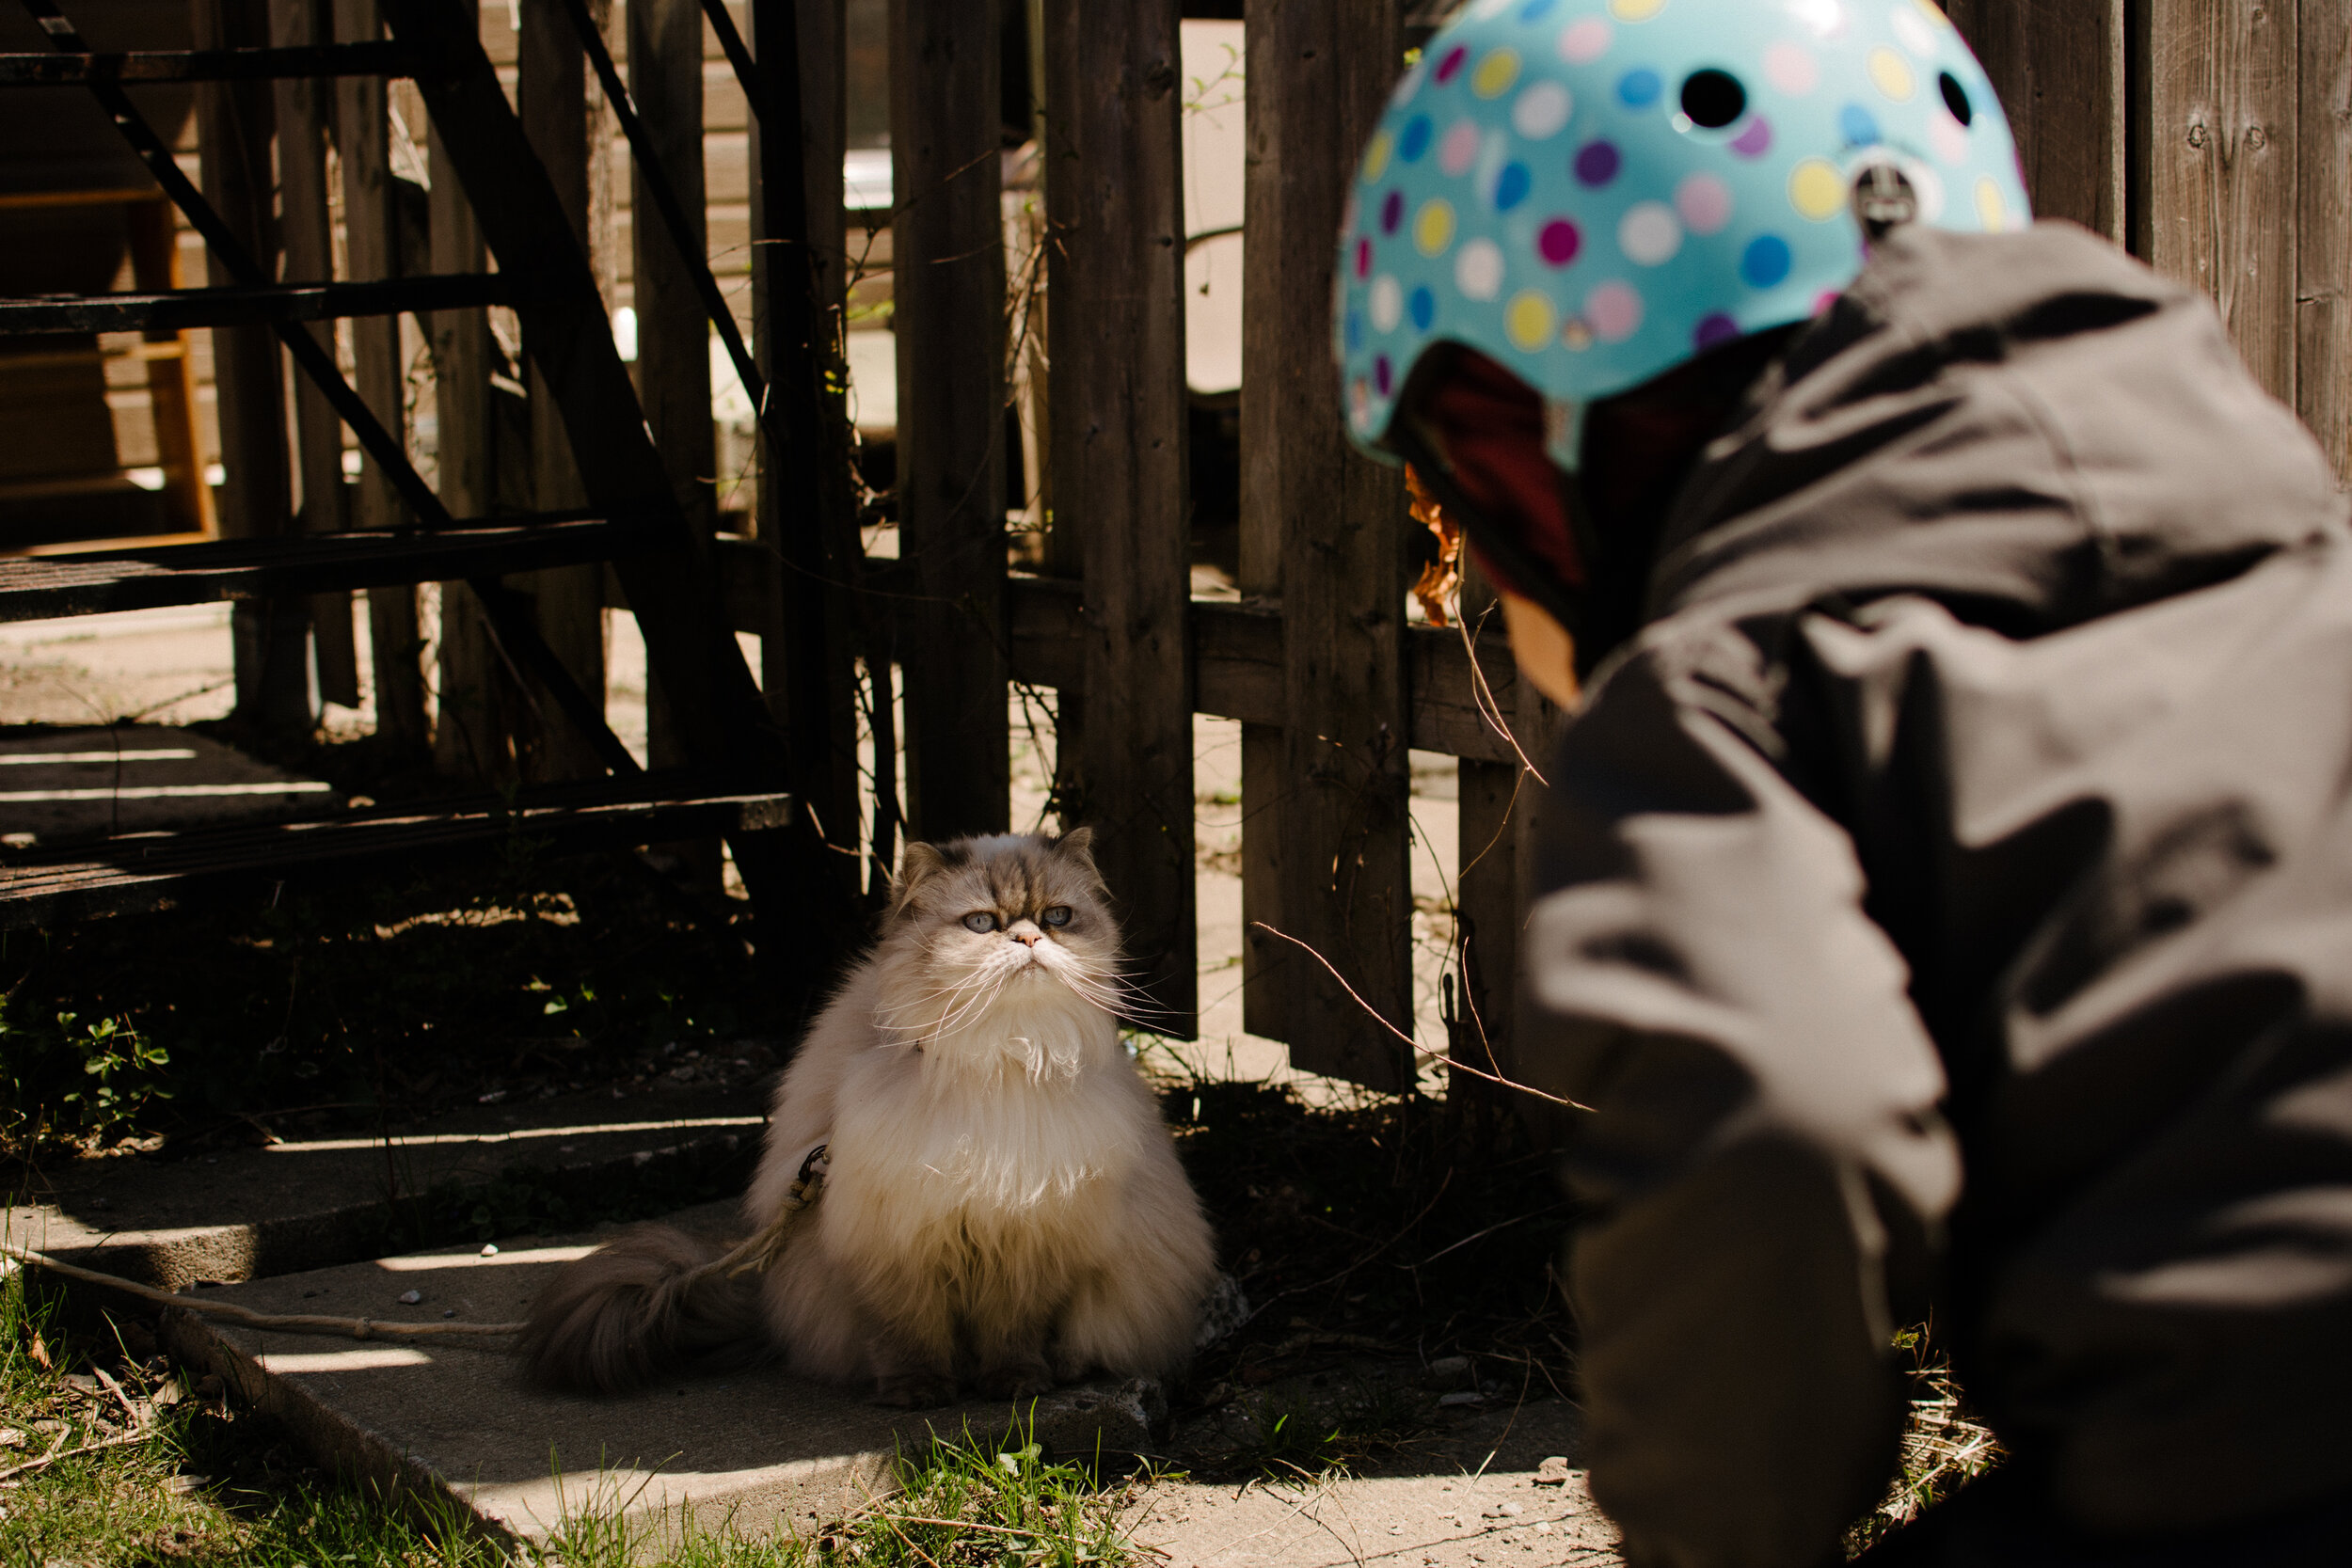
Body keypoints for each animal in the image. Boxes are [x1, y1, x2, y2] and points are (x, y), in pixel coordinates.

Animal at [515, 827, 1214, 1401]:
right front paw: (919, 1393)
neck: (997, 1058)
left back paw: (1061, 1370)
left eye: (1058, 916)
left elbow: (1012, 1336)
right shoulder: (896, 1244)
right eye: (982, 923)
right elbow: (910, 1337)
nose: (1029, 937)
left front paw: (1013, 1386)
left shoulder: (1024, 1243)